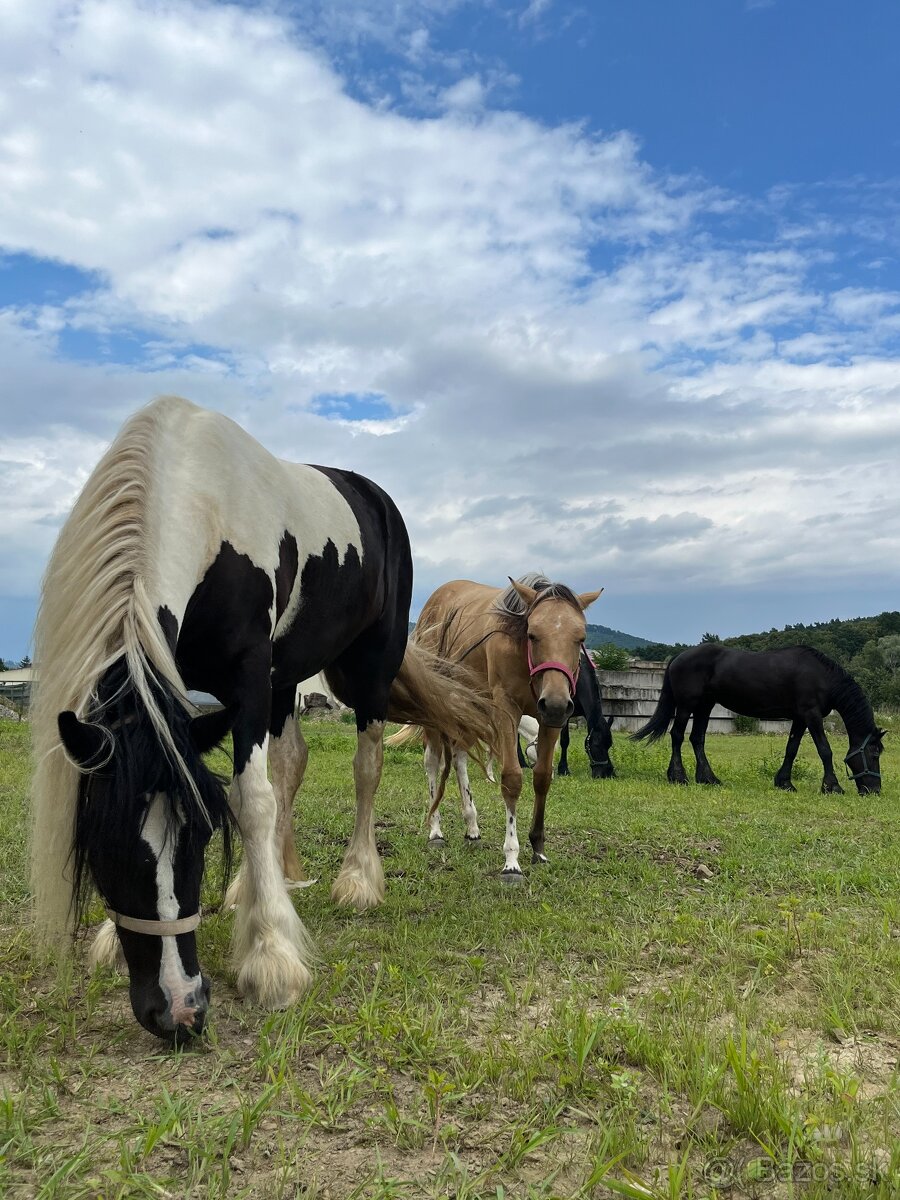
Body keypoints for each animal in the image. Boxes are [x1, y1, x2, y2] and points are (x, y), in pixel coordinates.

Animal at [31, 393, 496, 1041]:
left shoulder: (249, 678)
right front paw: (112, 939)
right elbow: (257, 788)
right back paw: (267, 879)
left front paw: (271, 955)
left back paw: (357, 880)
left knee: (366, 767)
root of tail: (374, 495)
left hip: (369, 672)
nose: (180, 1008)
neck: (202, 506)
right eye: (104, 842)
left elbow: (252, 800)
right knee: (291, 764)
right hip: (287, 678)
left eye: (204, 834)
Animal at [391, 571, 602, 883]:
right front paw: (511, 860)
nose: (555, 703)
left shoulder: (550, 721)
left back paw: (472, 828)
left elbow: (543, 777)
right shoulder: (505, 711)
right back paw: (436, 831)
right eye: (532, 634)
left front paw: (538, 849)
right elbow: (512, 779)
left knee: (459, 759)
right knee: (433, 761)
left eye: (580, 638)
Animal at [633, 643, 888, 792]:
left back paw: (708, 779)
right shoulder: (811, 715)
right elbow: (825, 750)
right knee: (677, 735)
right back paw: (678, 777)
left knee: (697, 739)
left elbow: (791, 749)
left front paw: (784, 782)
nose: (875, 790)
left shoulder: (800, 718)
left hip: (705, 706)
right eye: (875, 753)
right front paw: (832, 786)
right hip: (687, 705)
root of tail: (678, 657)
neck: (822, 677)